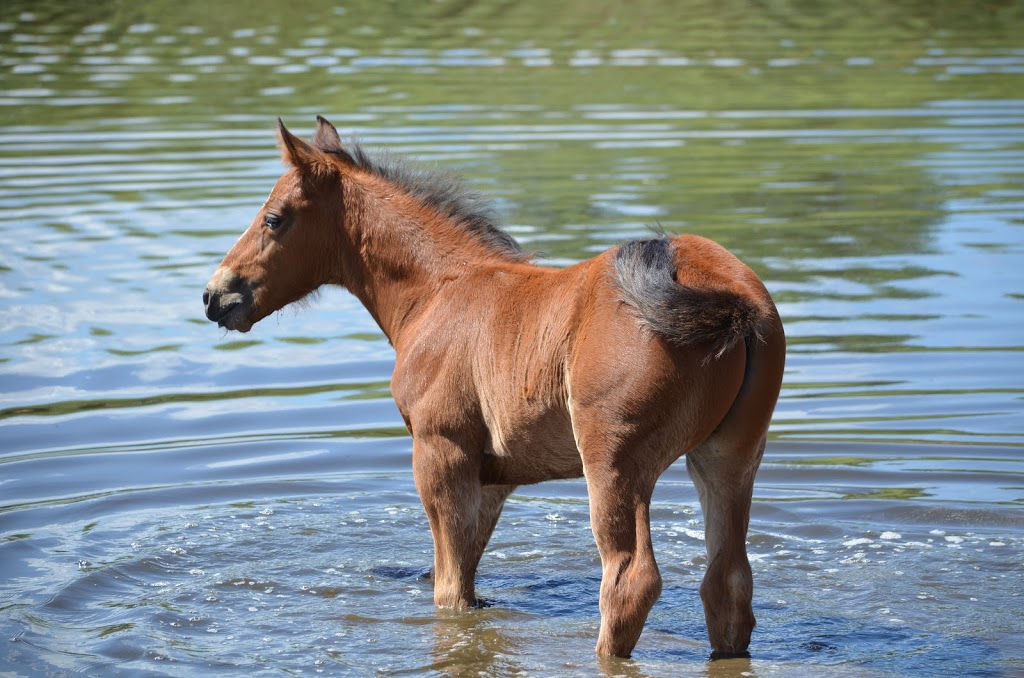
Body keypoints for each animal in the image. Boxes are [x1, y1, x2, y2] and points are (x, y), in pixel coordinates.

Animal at [203, 116, 786, 659]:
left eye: (274, 218)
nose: (215, 295)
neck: (437, 293)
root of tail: (726, 290)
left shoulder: (441, 452)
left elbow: (449, 593)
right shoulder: (493, 477)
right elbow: (467, 575)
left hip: (614, 461)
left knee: (629, 581)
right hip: (730, 456)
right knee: (728, 583)